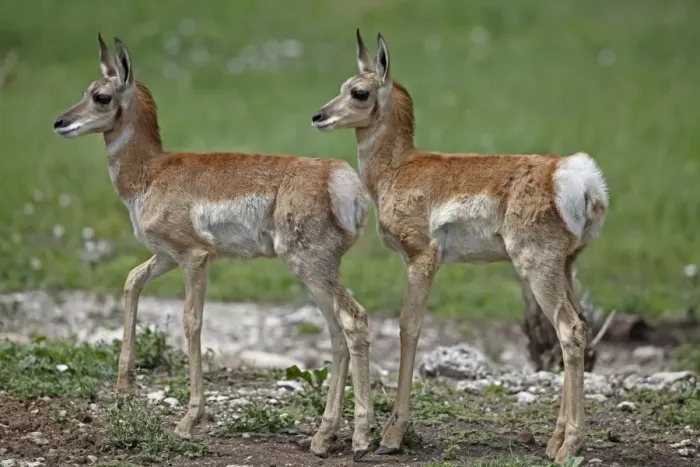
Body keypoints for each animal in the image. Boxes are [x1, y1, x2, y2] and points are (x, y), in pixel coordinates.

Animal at [53, 35, 375, 460]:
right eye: (85, 90)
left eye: (102, 96)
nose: (60, 122)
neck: (153, 171)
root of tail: (339, 177)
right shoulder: (165, 256)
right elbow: (132, 280)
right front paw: (124, 390)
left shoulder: (194, 258)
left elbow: (192, 322)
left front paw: (188, 421)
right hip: (313, 274)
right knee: (337, 333)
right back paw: (323, 438)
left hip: (312, 268)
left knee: (354, 320)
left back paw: (362, 438)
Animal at [311, 30, 609, 464]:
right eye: (342, 85)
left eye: (360, 92)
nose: (319, 116)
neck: (399, 166)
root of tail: (570, 174)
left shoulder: (421, 259)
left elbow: (409, 327)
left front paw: (391, 435)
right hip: (566, 268)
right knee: (579, 327)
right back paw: (555, 441)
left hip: (537, 268)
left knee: (569, 329)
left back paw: (569, 445)